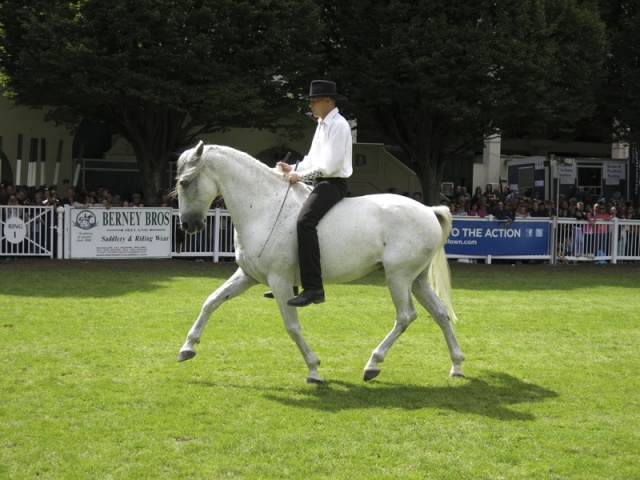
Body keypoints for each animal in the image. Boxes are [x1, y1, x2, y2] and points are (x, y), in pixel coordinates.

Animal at [175, 141, 465, 383]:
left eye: (185, 182)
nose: (188, 225)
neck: (263, 207)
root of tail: (428, 210)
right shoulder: (248, 276)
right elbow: (212, 301)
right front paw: (187, 347)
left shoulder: (280, 282)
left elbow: (292, 327)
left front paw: (313, 370)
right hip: (417, 280)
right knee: (440, 314)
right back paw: (456, 365)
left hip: (399, 278)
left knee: (405, 316)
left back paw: (373, 364)